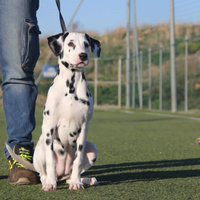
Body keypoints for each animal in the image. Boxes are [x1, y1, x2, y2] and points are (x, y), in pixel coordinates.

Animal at [6, 32, 101, 191]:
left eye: (86, 44)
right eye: (70, 43)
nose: (83, 55)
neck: (71, 87)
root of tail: (61, 175)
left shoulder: (83, 127)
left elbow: (78, 160)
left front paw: (77, 182)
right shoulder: (49, 127)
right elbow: (51, 161)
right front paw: (50, 184)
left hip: (92, 148)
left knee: (70, 175)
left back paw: (84, 180)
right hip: (40, 149)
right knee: (43, 174)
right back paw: (48, 181)